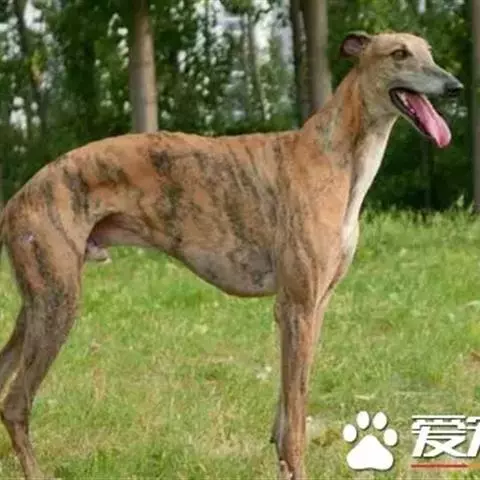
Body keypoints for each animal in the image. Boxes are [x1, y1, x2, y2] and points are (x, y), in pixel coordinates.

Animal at [0, 31, 463, 479]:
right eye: (399, 53)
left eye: (428, 51)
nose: (455, 86)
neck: (336, 155)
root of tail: (17, 199)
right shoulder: (297, 306)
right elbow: (296, 416)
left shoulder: (314, 306)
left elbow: (285, 414)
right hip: (57, 303)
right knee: (16, 402)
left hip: (36, 303)